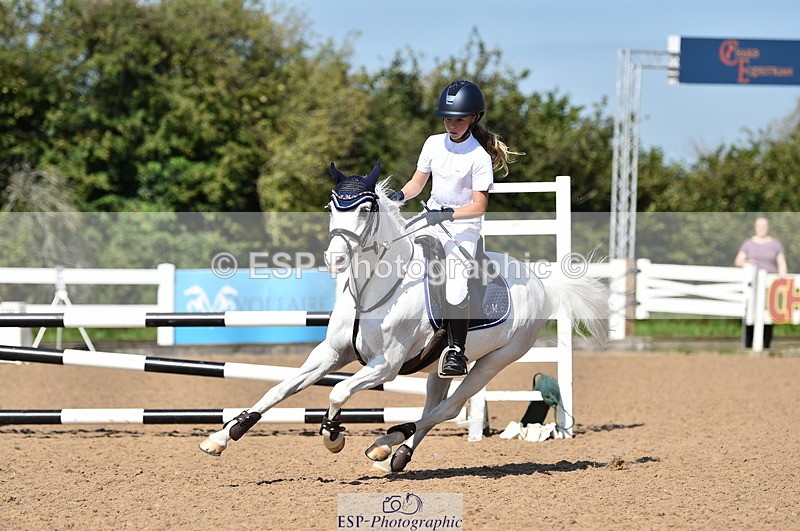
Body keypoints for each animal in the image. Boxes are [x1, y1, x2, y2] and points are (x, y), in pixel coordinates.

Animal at [199, 161, 609, 472]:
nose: (334, 259)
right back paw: (396, 451)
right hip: (438, 367)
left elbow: (338, 390)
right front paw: (223, 436)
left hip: (496, 360)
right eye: (332, 207)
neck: (371, 286)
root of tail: (540, 281)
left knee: (450, 408)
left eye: (365, 209)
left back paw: (387, 442)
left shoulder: (386, 365)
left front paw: (333, 435)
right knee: (435, 402)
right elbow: (279, 388)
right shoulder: (329, 354)